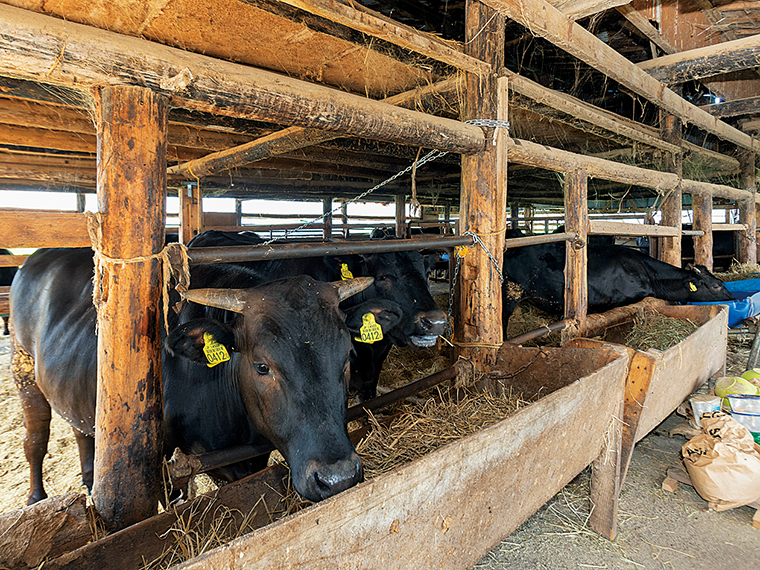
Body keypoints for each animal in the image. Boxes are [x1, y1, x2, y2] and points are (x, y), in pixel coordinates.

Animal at [10, 246, 398, 504]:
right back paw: (36, 497)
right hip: (23, 371)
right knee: (35, 440)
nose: (337, 478)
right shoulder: (170, 464)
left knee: (81, 433)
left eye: (347, 356)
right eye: (262, 366)